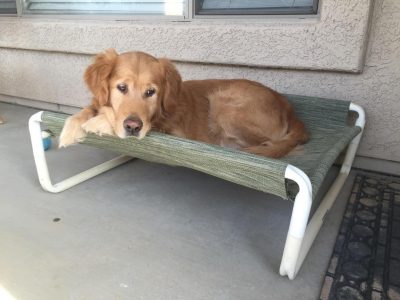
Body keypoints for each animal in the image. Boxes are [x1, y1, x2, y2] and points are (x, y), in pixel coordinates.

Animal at [60, 49, 310, 158]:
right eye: (121, 88)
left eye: (151, 92)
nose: (133, 127)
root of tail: (289, 107)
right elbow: (87, 110)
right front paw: (70, 129)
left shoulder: (172, 131)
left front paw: (98, 122)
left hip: (223, 105)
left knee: (269, 144)